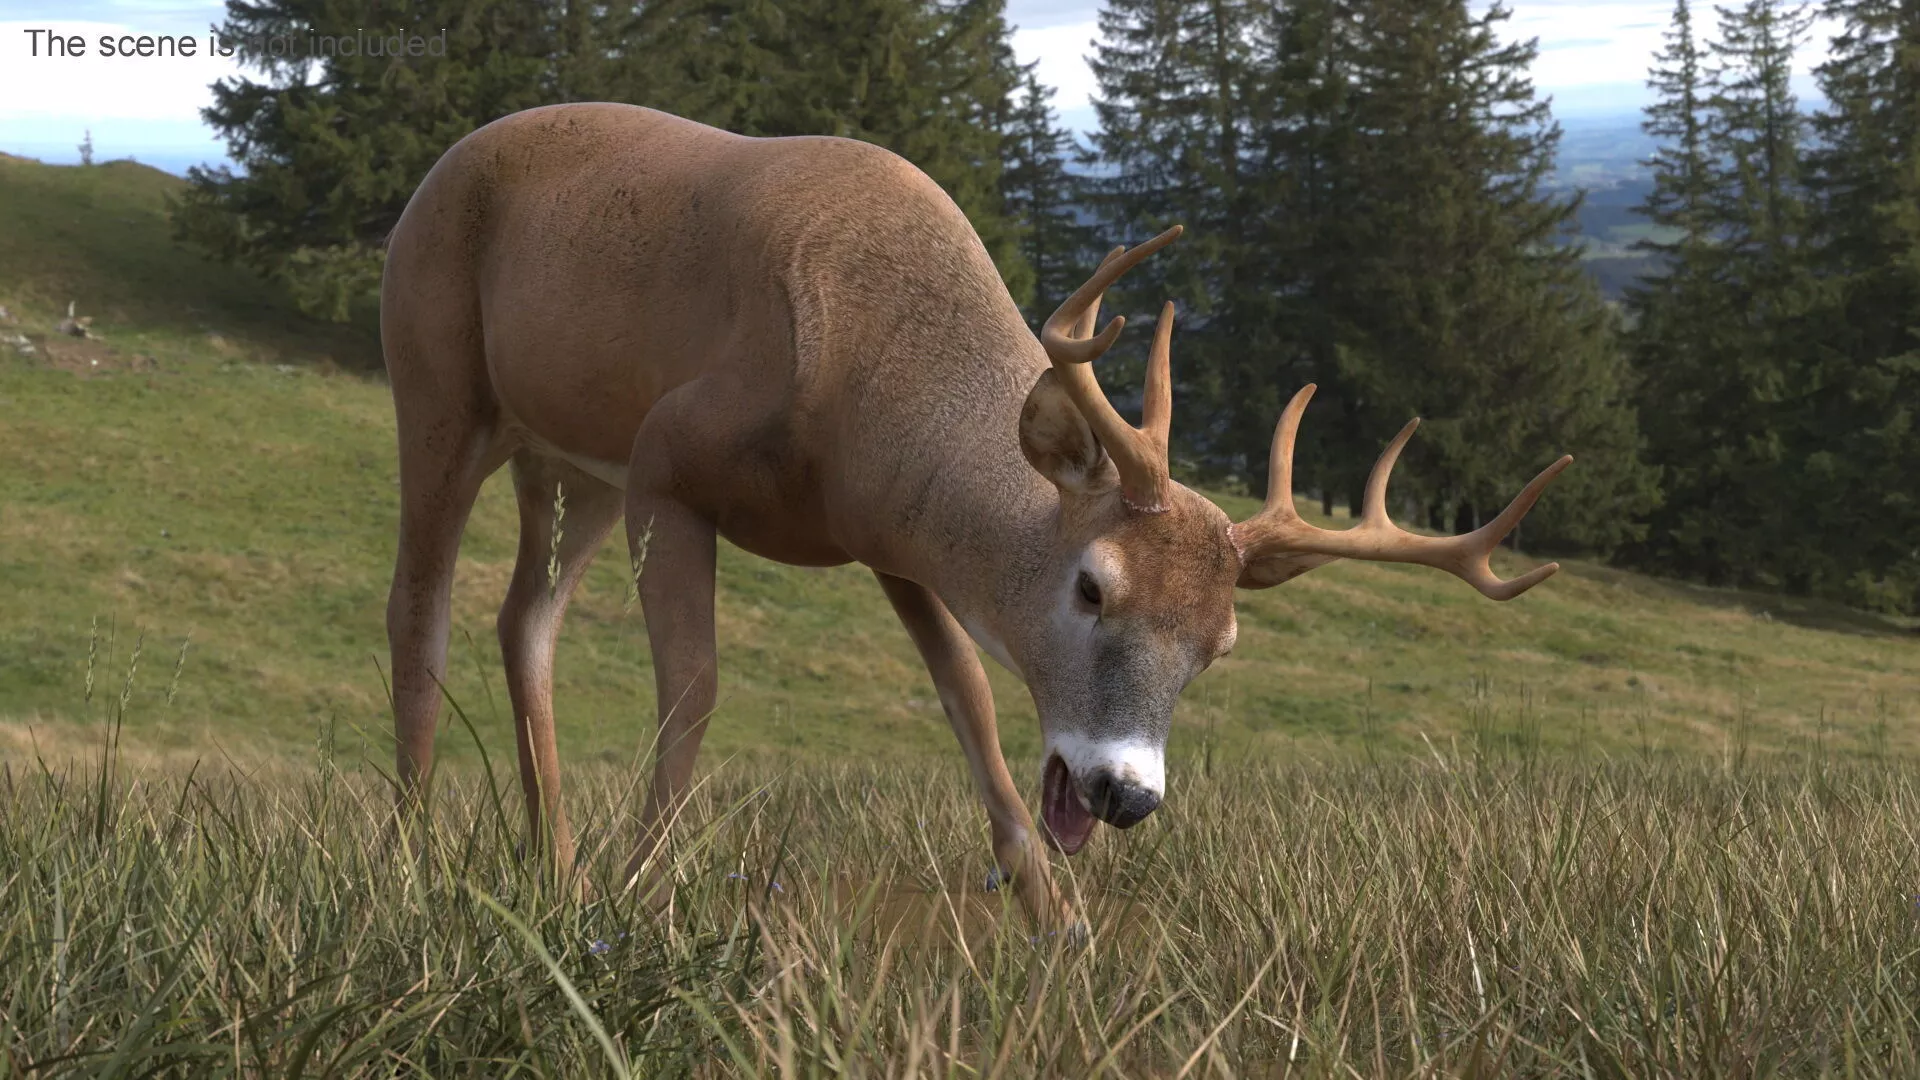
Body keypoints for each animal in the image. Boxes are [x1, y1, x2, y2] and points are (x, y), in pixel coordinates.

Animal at [379, 102, 1572, 932]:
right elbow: (697, 689)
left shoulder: (888, 542)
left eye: (1220, 644)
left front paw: (1059, 919)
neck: (858, 396)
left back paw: (553, 867)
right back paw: (419, 862)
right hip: (437, 379)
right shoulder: (669, 458)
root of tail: (442, 167)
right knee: (419, 613)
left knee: (522, 619)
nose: (1126, 793)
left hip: (572, 467)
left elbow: (971, 702)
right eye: (1093, 585)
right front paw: (638, 895)